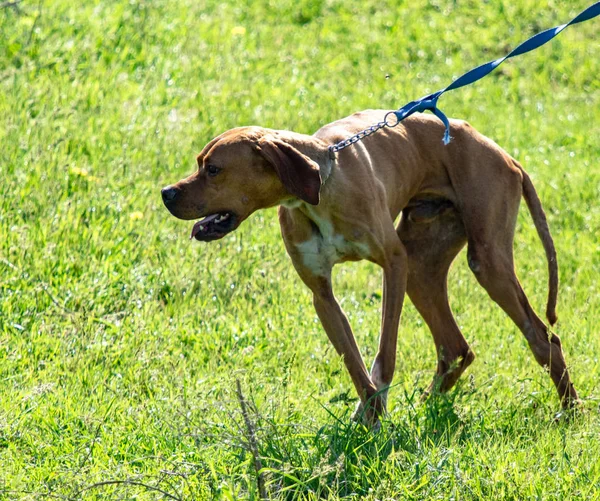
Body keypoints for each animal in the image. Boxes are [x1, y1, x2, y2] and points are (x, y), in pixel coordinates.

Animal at [162, 111, 580, 424]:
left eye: (213, 169)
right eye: (199, 164)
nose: (166, 193)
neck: (320, 187)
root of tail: (504, 154)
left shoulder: (393, 264)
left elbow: (385, 353)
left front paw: (374, 411)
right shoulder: (323, 296)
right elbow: (354, 362)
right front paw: (369, 416)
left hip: (485, 262)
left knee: (543, 338)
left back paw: (571, 410)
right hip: (422, 269)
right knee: (455, 348)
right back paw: (422, 410)